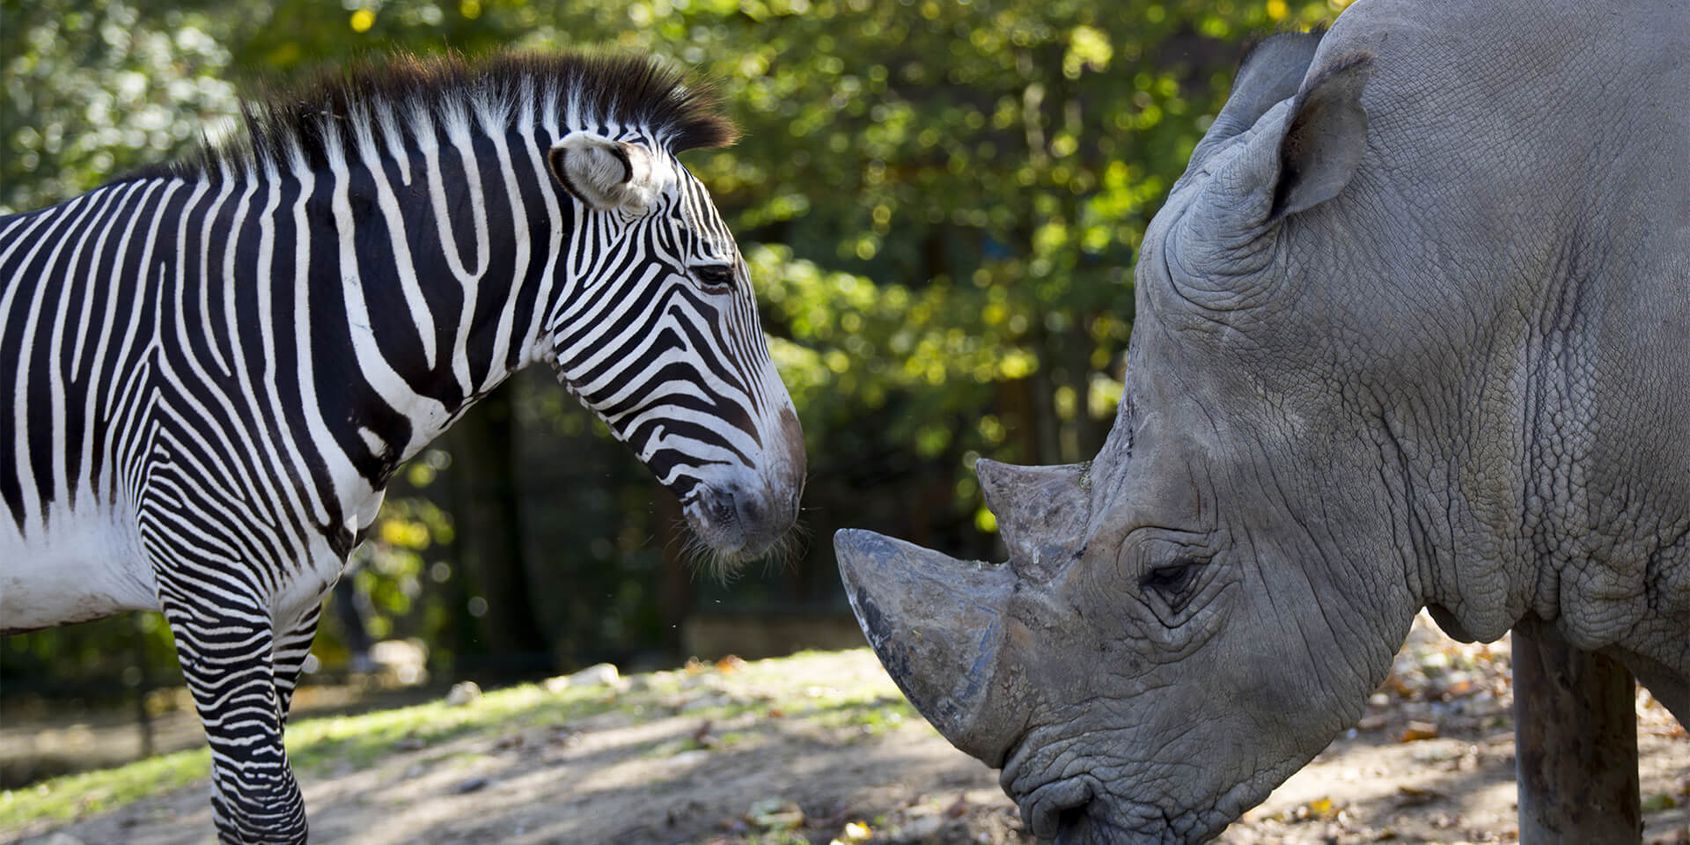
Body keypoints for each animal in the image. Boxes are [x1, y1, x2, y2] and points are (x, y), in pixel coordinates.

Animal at [0, 53, 805, 843]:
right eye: (715, 276)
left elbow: (241, 807)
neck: (297, 334)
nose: (790, 498)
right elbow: (268, 810)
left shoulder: (297, 600)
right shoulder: (209, 592)